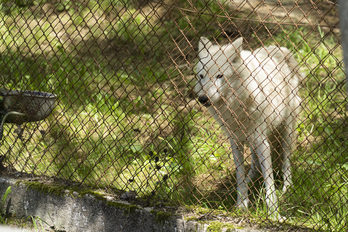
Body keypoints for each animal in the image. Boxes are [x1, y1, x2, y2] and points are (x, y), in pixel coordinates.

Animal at [194, 36, 300, 218]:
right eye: (202, 76)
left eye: (219, 76)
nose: (202, 98)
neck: (236, 105)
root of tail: (281, 48)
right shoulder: (235, 140)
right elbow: (240, 176)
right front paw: (242, 205)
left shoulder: (262, 141)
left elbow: (269, 181)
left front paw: (274, 213)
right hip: (251, 137)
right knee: (254, 164)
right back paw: (249, 179)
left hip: (286, 128)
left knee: (286, 160)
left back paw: (287, 187)